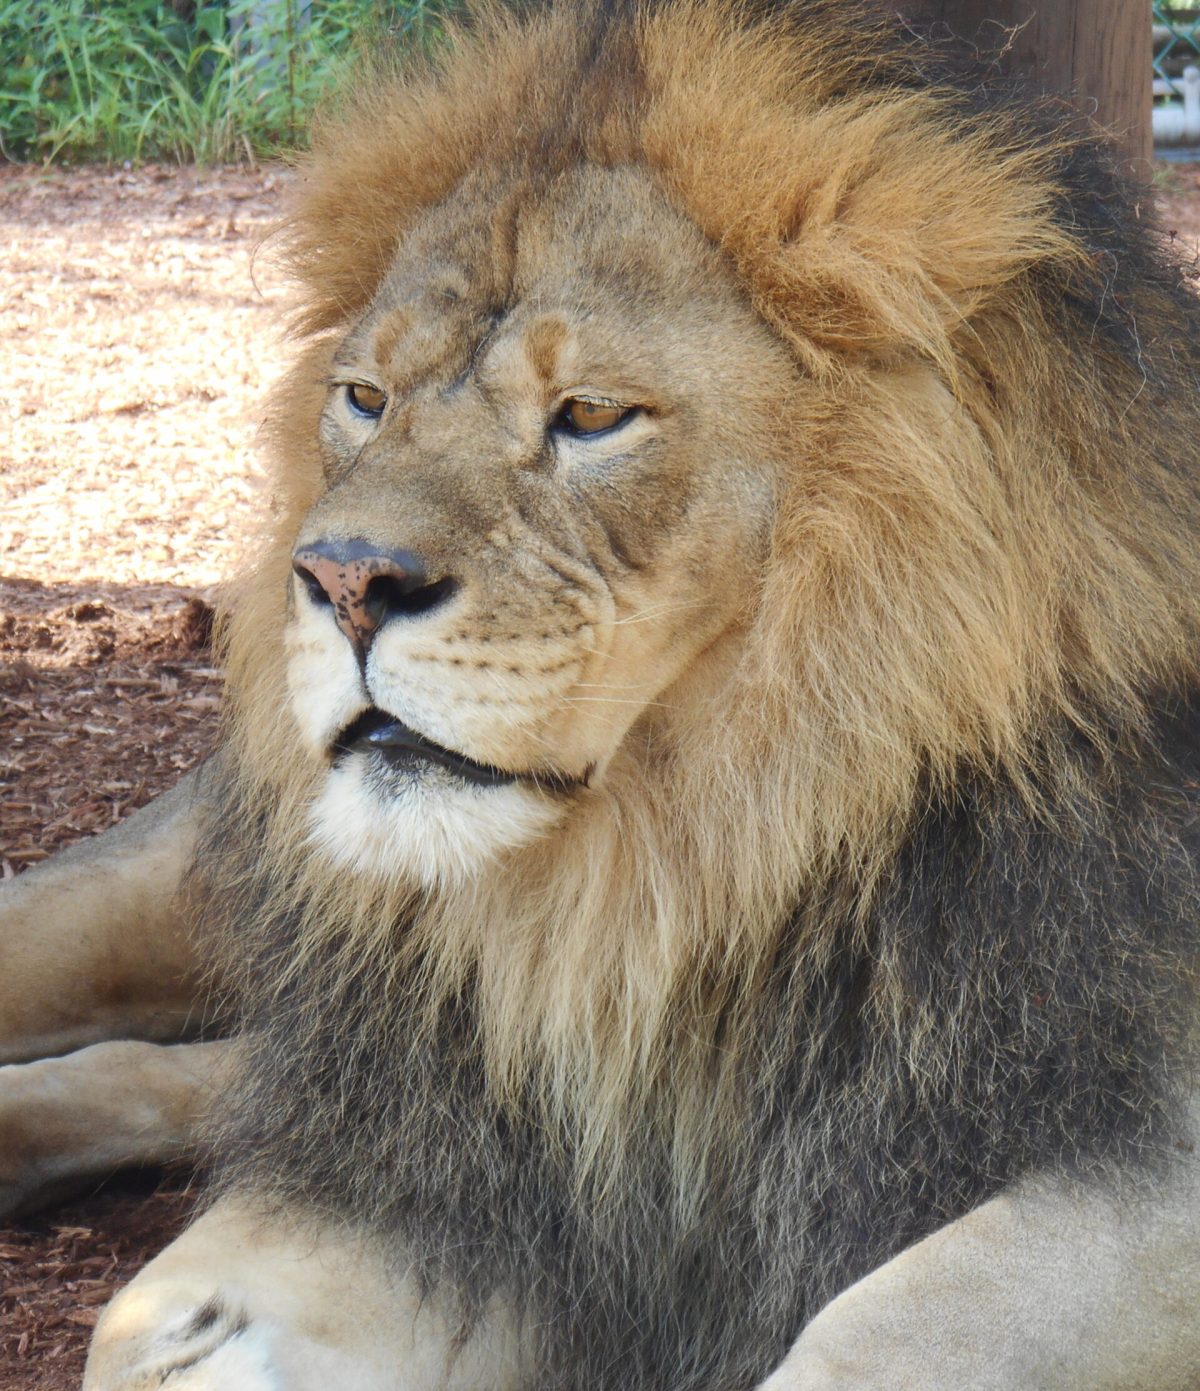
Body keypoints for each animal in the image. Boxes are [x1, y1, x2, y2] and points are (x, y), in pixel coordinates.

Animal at [2, 1, 1200, 1386]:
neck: (679, 881)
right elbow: (157, 1316)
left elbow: (870, 1337)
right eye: (364, 398)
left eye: (589, 415)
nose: (342, 580)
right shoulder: (481, 1170)